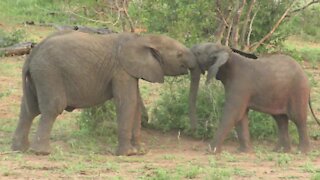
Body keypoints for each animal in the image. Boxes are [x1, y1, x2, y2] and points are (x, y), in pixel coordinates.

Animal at [11, 30, 198, 155]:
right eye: (179, 54)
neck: (141, 39)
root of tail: (31, 55)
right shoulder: (121, 71)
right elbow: (127, 103)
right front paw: (127, 154)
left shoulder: (131, 72)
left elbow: (135, 104)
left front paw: (140, 151)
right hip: (49, 73)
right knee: (52, 108)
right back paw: (41, 152)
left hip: (38, 76)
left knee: (29, 110)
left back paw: (20, 149)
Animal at [189, 43, 318, 154]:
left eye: (198, 53)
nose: (195, 130)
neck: (228, 54)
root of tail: (304, 73)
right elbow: (241, 116)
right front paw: (243, 152)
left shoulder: (240, 85)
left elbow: (233, 114)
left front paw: (211, 151)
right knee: (280, 119)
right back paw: (280, 151)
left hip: (298, 90)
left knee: (298, 118)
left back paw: (302, 152)